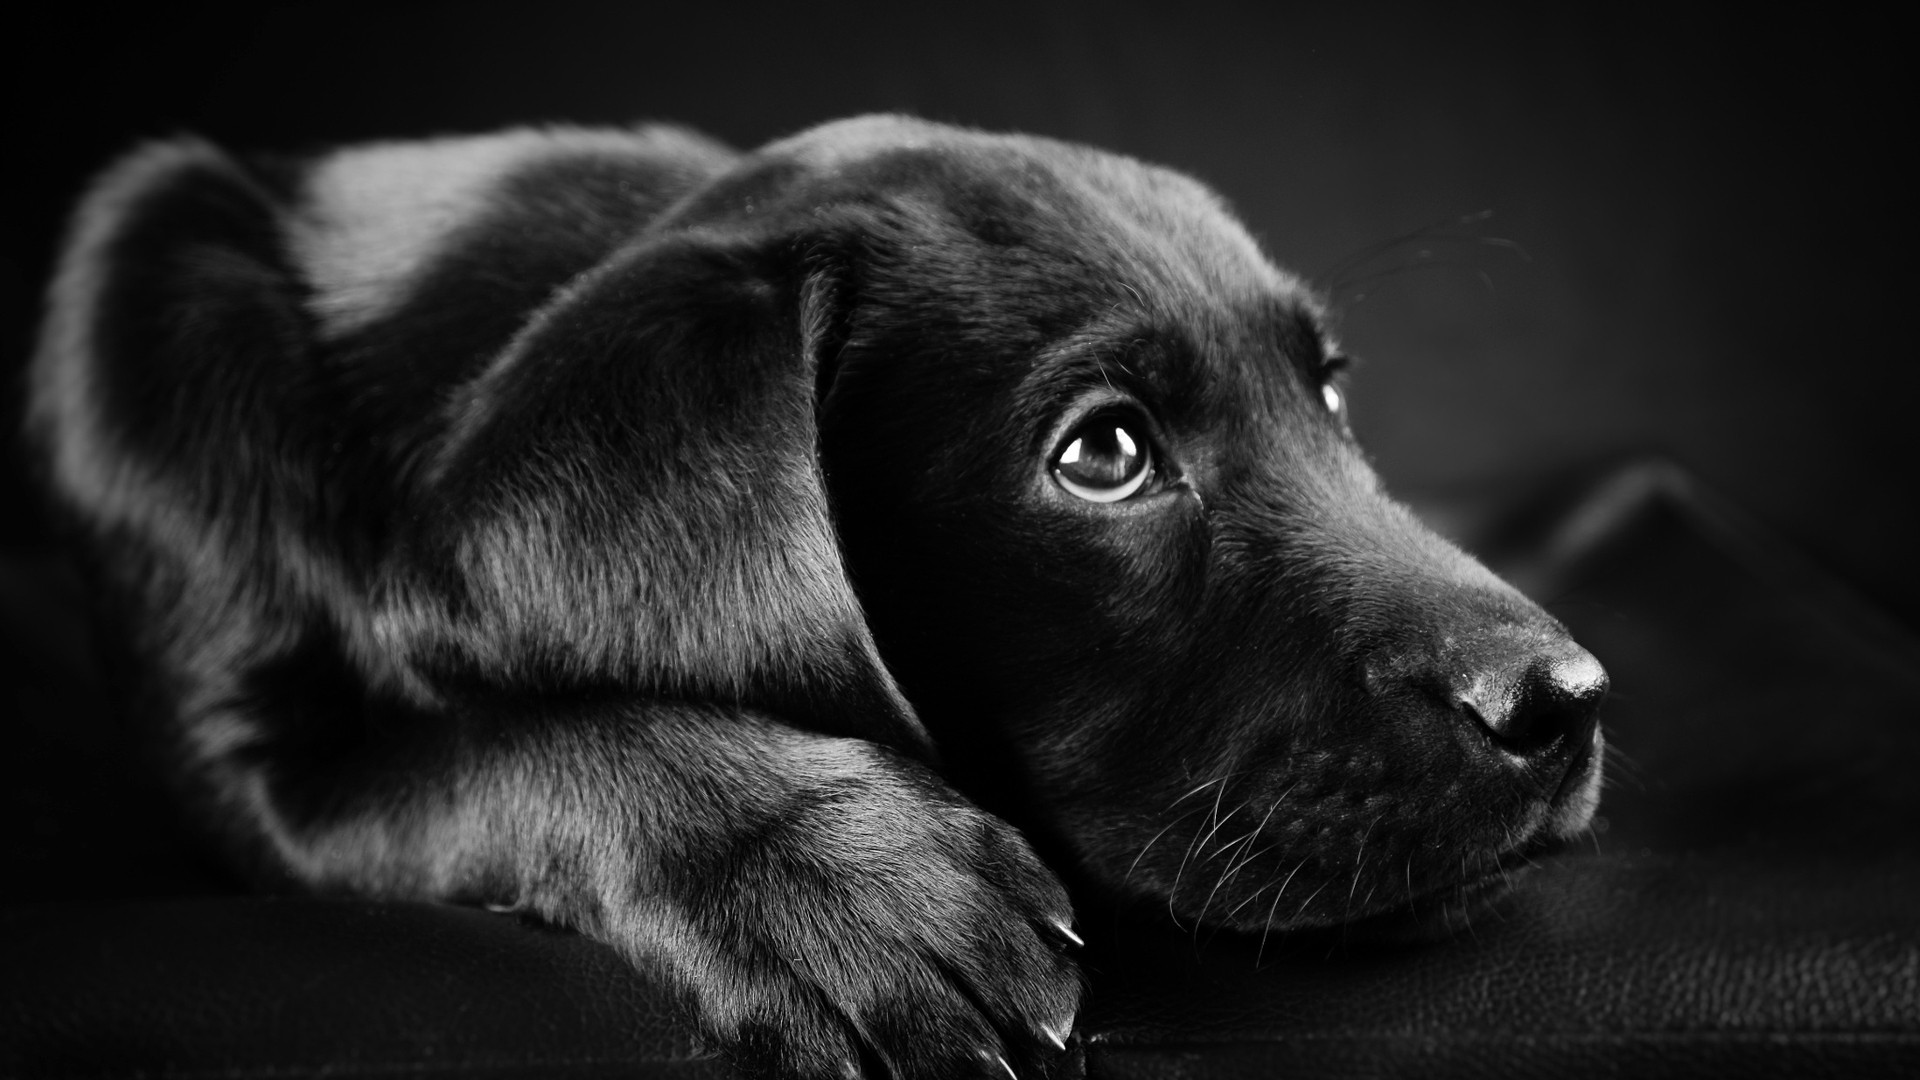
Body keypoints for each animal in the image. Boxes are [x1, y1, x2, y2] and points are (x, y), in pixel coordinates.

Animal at [33, 117, 1605, 1076]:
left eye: (1328, 393)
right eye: (1103, 456)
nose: (1570, 701)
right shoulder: (271, 779)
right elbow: (505, 744)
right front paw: (845, 884)